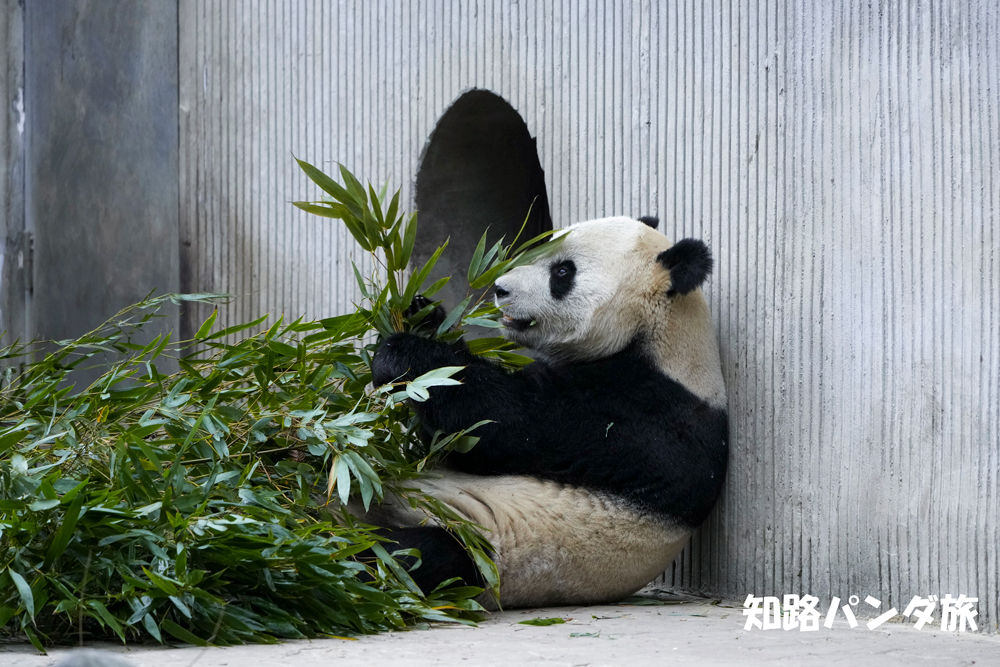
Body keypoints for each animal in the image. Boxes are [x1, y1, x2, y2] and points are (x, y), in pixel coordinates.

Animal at [367, 215, 728, 609]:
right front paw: (422, 315)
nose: (499, 288)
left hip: (480, 548)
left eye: (562, 272)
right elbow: (450, 443)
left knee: (415, 556)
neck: (661, 335)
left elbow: (503, 424)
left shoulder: (641, 417)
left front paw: (402, 352)